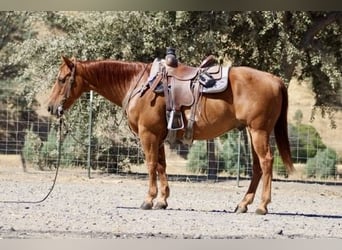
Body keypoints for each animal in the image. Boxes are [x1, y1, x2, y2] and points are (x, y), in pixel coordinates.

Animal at [47, 55, 294, 215]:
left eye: (61, 79)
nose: (50, 107)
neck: (139, 85)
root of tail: (275, 80)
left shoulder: (148, 134)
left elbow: (150, 165)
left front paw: (148, 200)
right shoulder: (159, 137)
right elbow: (161, 166)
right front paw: (162, 200)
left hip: (259, 131)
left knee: (267, 162)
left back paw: (262, 206)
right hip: (254, 133)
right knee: (257, 167)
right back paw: (243, 204)